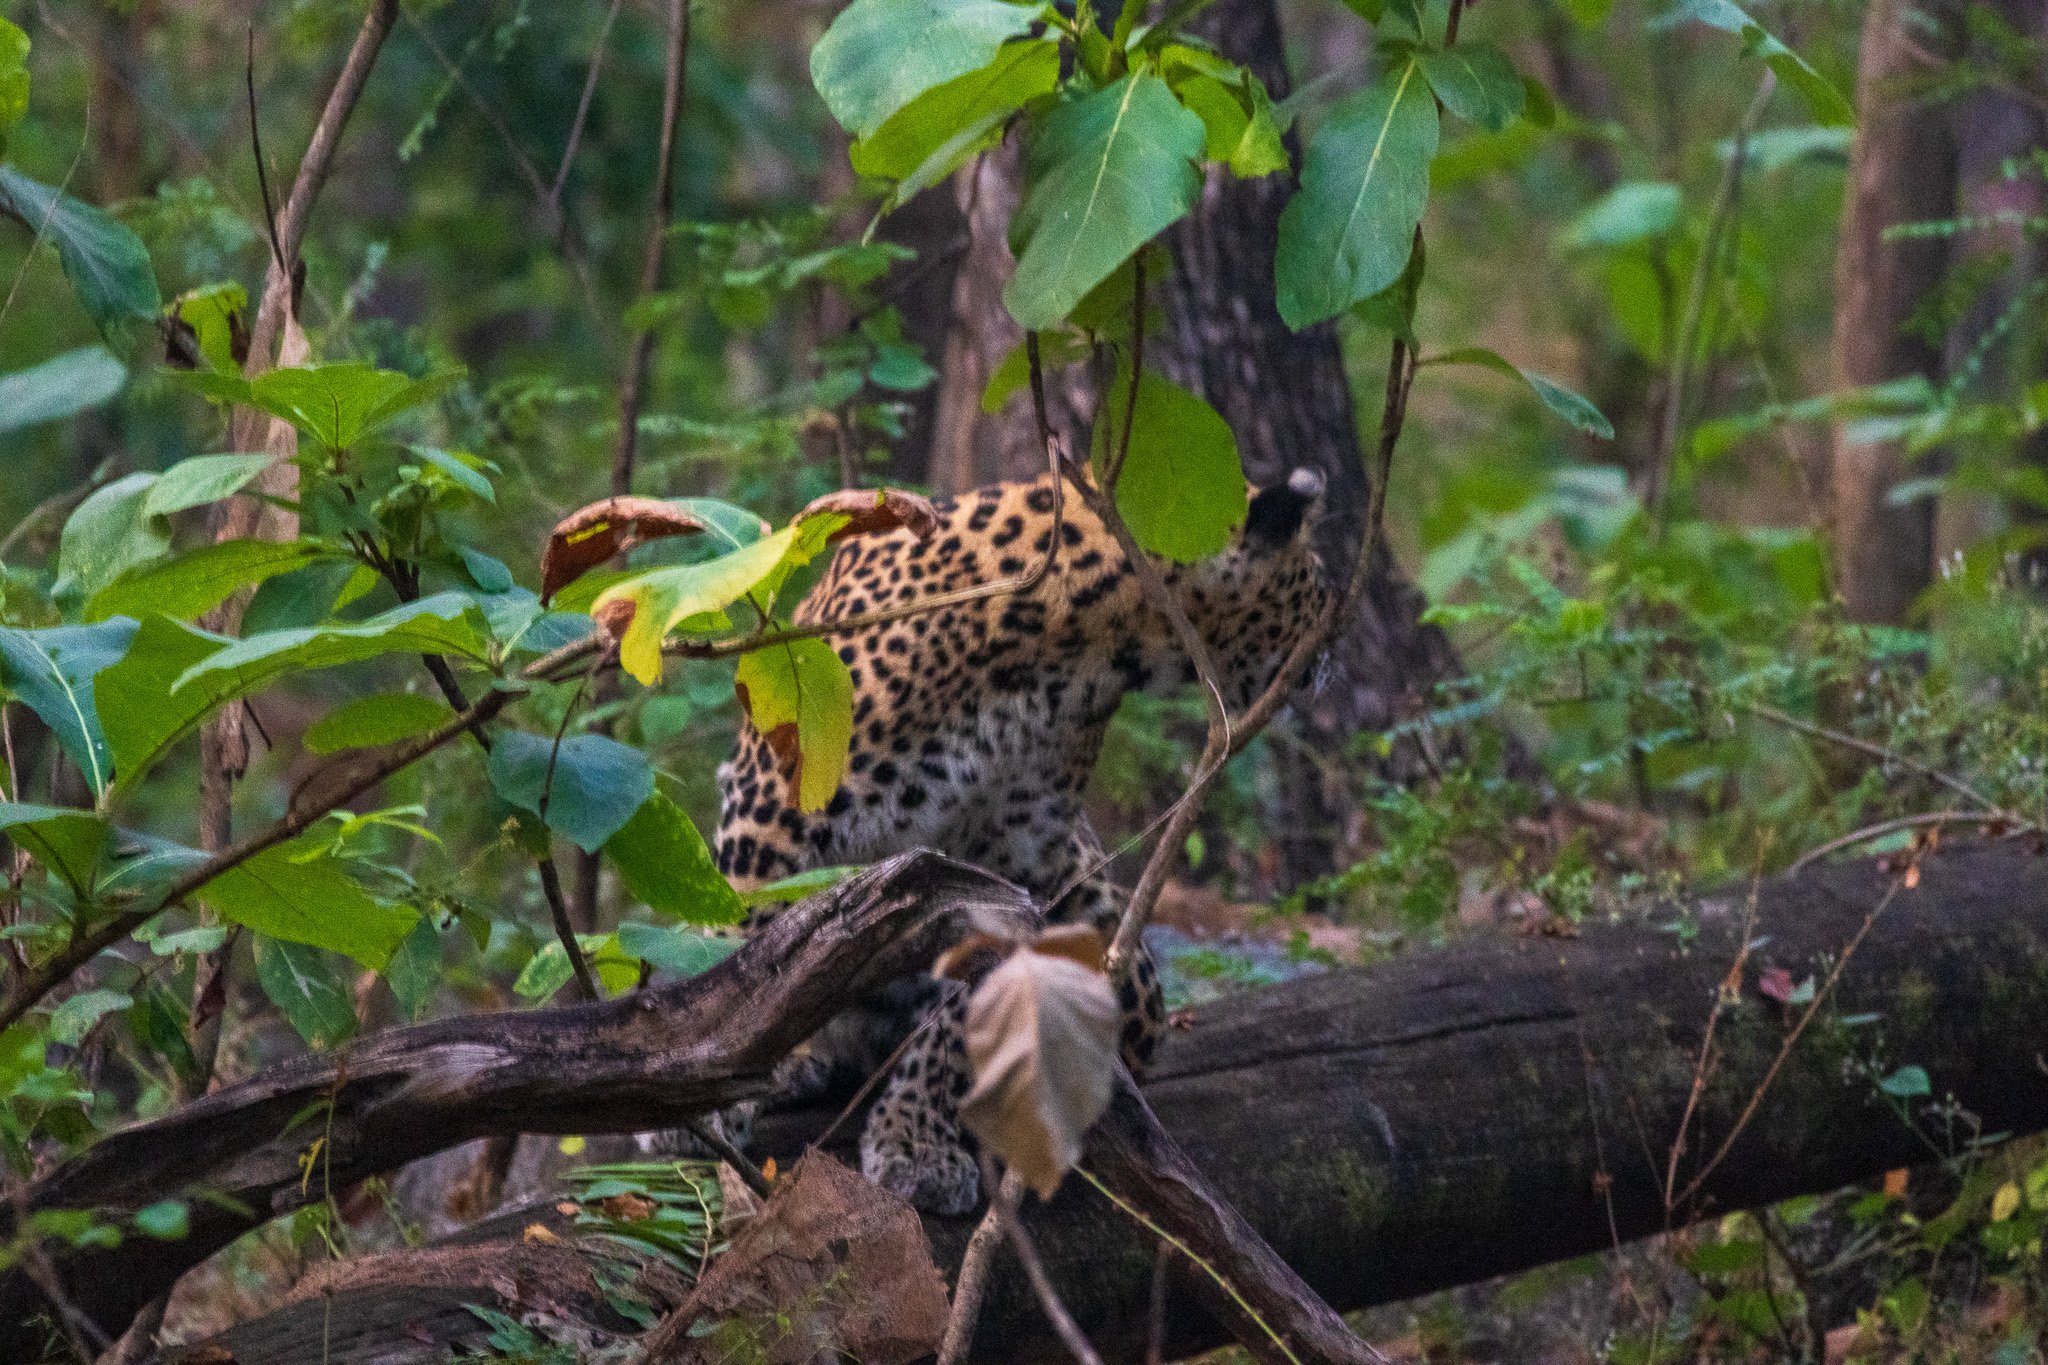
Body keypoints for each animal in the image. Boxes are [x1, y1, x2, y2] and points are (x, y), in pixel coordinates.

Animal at [712, 470, 1335, 1219]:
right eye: (1317, 587)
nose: (1332, 652)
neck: (1070, 653)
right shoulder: (773, 805)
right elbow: (737, 956)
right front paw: (708, 1103)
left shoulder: (1014, 861)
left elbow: (962, 1008)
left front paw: (917, 1140)